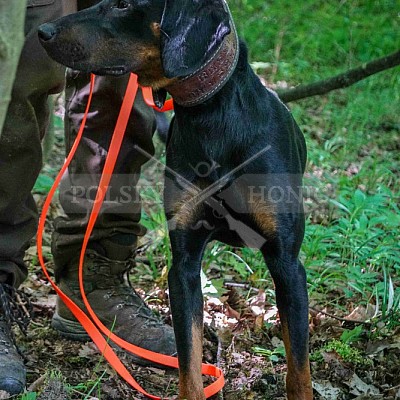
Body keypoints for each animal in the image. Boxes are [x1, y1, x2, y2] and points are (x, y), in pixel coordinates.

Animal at [38, 1, 312, 398]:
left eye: (124, 4)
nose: (42, 32)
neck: (212, 115)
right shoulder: (183, 263)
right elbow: (189, 362)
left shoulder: (287, 263)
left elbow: (299, 367)